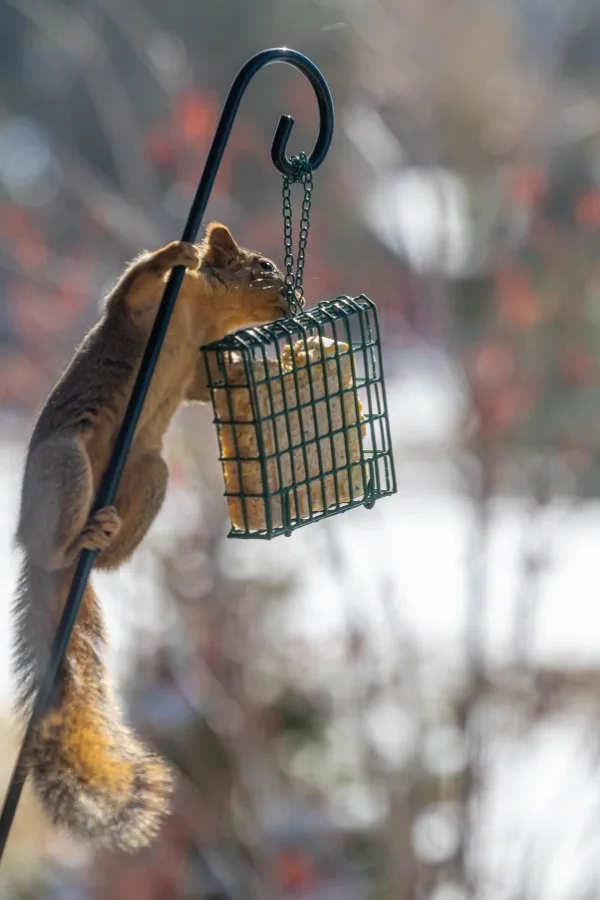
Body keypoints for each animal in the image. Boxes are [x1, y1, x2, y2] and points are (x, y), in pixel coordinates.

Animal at [12, 222, 288, 852]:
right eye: (263, 266)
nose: (294, 294)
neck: (208, 315)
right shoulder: (144, 310)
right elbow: (133, 286)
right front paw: (173, 253)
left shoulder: (196, 370)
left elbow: (206, 388)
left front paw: (248, 375)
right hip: (65, 464)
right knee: (53, 543)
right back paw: (68, 543)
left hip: (152, 472)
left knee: (111, 558)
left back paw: (103, 537)